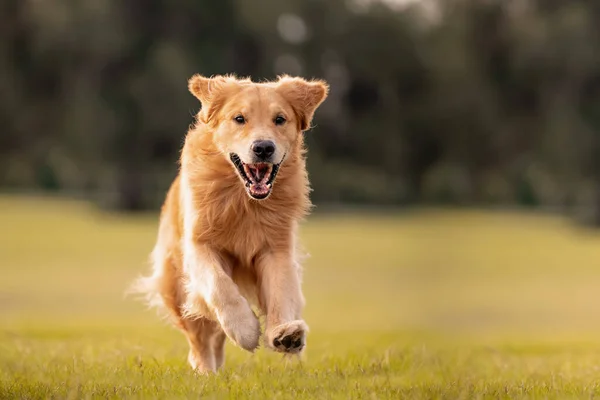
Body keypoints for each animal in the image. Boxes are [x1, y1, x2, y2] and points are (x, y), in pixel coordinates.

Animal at [131, 72, 328, 372]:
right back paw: (206, 371)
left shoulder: (277, 248)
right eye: (239, 118)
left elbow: (281, 290)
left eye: (280, 119)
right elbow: (219, 286)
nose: (263, 148)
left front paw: (285, 333)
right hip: (176, 285)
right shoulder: (199, 246)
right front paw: (245, 330)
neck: (243, 200)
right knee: (199, 339)